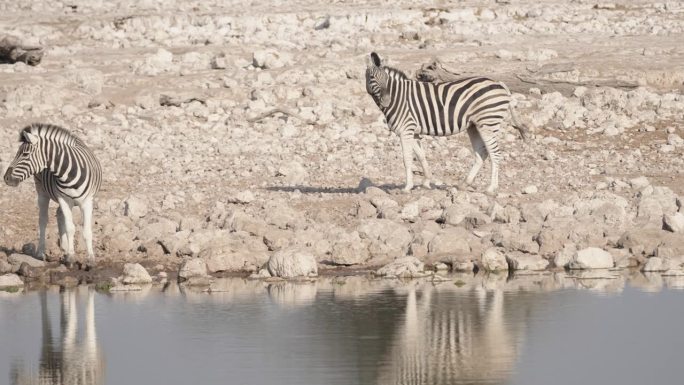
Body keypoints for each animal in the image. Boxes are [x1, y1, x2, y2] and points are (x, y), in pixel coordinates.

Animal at [3, 123, 102, 264]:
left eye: (25, 154)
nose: (6, 178)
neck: (69, 173)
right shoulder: (64, 199)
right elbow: (70, 228)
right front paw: (71, 257)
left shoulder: (87, 201)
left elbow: (86, 230)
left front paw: (90, 259)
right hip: (42, 193)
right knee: (43, 220)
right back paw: (41, 253)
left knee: (59, 215)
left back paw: (64, 248)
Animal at [364, 52, 528, 194]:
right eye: (371, 77)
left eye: (386, 78)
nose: (386, 101)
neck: (398, 98)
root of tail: (499, 83)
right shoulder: (413, 132)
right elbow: (421, 156)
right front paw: (426, 182)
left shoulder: (406, 130)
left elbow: (407, 159)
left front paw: (407, 187)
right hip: (474, 126)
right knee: (481, 153)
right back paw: (465, 183)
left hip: (487, 123)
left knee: (495, 153)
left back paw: (491, 188)